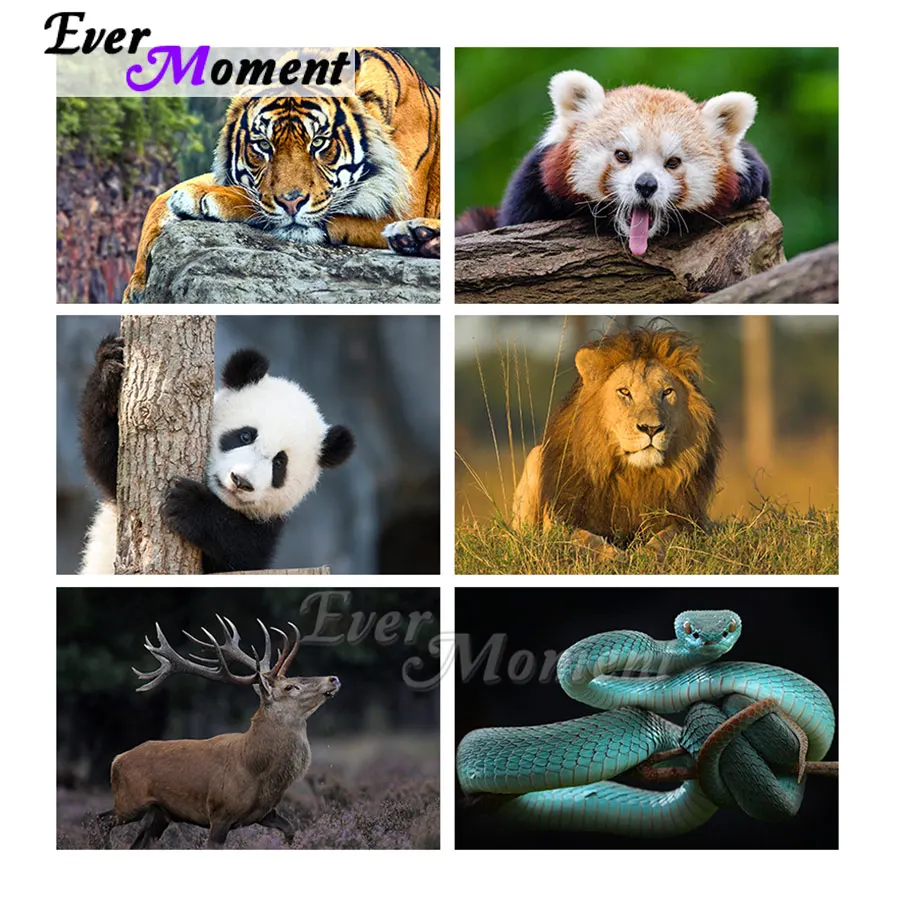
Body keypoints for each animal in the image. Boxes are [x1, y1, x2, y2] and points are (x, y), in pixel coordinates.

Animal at [123, 48, 440, 302]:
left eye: (318, 142)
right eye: (264, 145)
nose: (291, 202)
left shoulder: (399, 205)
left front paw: (209, 197)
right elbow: (161, 199)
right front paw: (137, 285)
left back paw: (418, 235)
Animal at [512, 327, 722, 558]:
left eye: (667, 392)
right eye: (624, 392)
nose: (651, 429)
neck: (634, 476)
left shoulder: (689, 520)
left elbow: (668, 536)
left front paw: (647, 554)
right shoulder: (562, 518)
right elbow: (584, 538)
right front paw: (613, 556)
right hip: (535, 457)